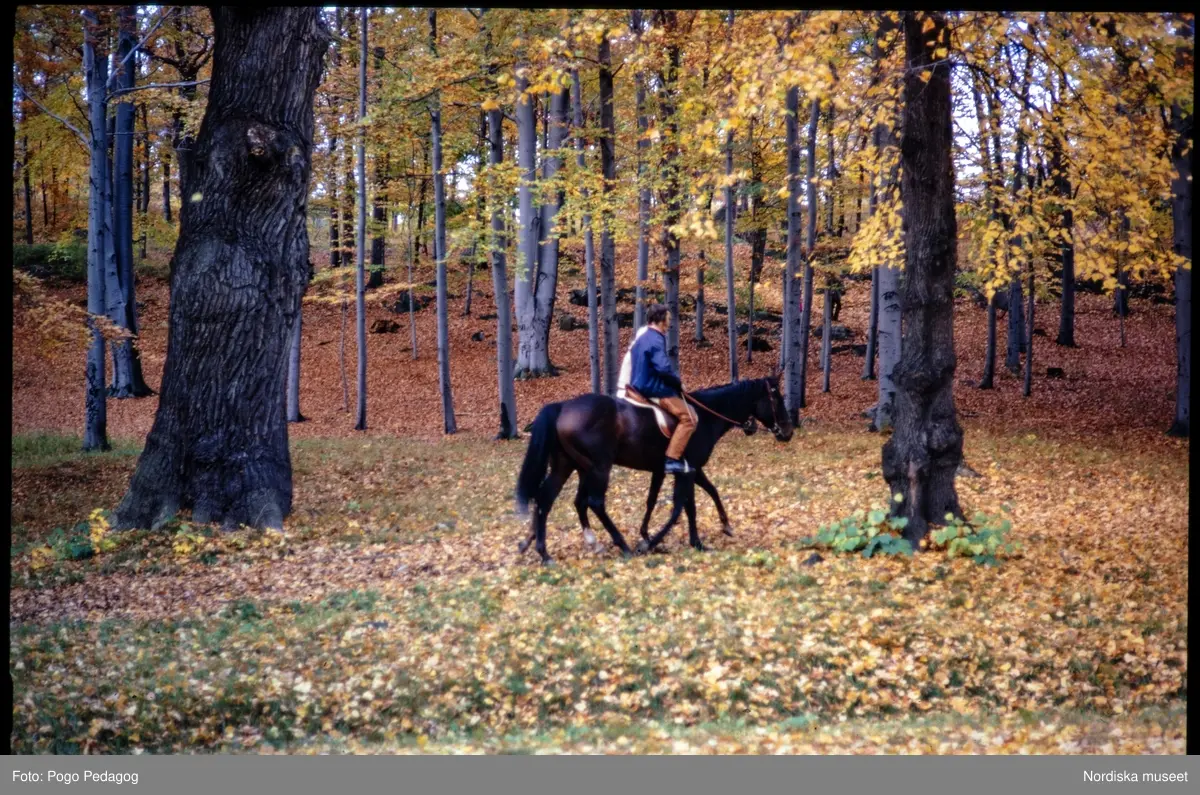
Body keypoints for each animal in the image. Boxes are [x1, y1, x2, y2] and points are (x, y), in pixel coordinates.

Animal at [516, 379, 796, 566]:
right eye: (777, 398)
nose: (787, 431)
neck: (705, 416)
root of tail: (562, 407)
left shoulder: (684, 470)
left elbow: (695, 497)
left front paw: (714, 531)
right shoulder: (687, 471)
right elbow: (681, 508)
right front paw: (653, 541)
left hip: (567, 466)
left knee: (546, 499)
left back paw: (544, 551)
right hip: (598, 468)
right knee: (593, 502)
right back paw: (621, 546)